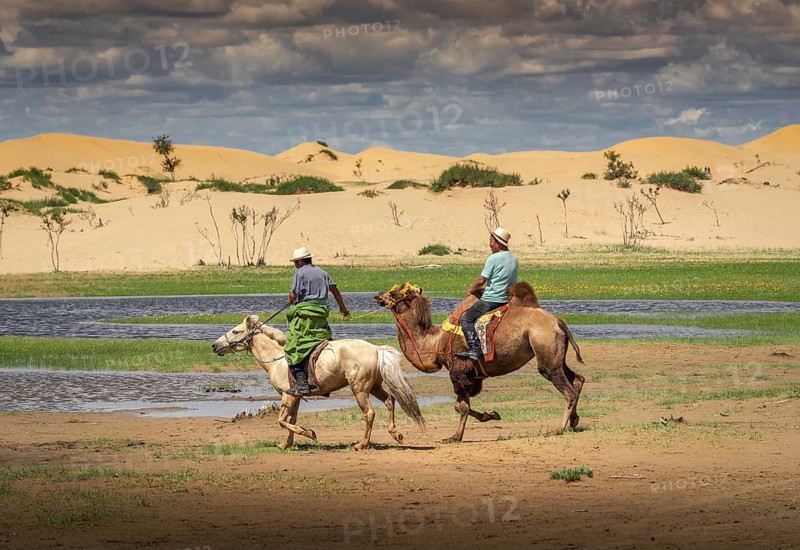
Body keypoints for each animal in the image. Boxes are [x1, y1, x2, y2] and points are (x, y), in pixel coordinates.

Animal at [212, 315, 425, 450]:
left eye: (235, 331)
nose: (214, 345)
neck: (277, 359)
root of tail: (375, 349)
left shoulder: (287, 395)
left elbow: (282, 420)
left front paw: (309, 433)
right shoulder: (296, 397)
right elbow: (290, 420)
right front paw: (287, 444)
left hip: (360, 389)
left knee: (369, 413)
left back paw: (362, 444)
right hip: (374, 386)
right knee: (390, 400)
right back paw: (395, 434)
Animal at [375, 283, 585, 443]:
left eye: (394, 293)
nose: (378, 295)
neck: (437, 342)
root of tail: (558, 321)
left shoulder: (459, 370)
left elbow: (462, 407)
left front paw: (454, 437)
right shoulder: (473, 376)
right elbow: (459, 405)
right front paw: (491, 414)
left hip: (544, 347)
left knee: (566, 389)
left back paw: (558, 429)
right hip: (556, 353)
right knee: (577, 379)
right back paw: (574, 421)